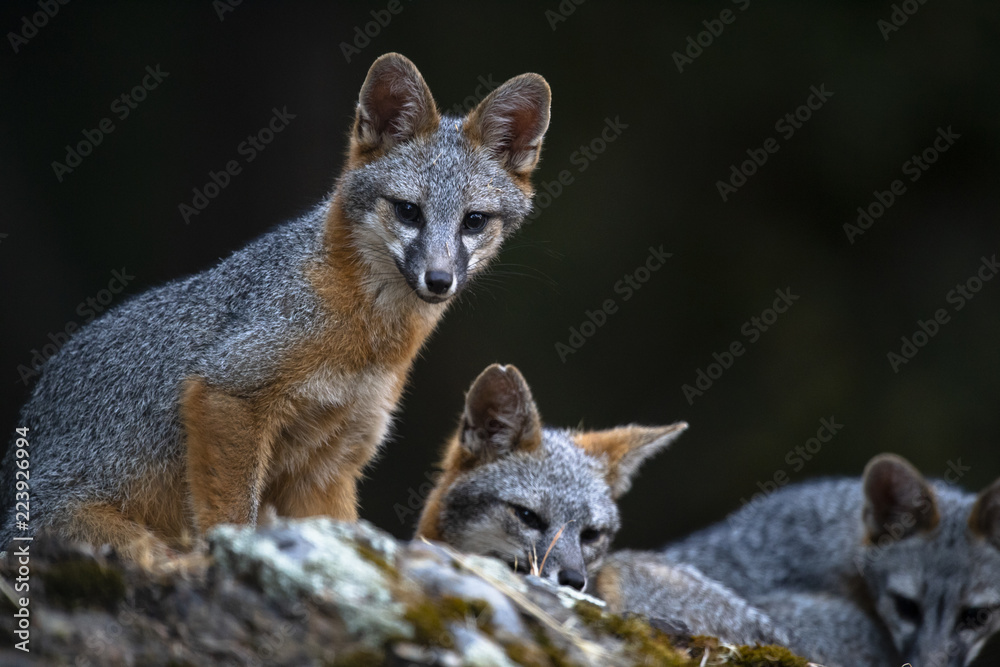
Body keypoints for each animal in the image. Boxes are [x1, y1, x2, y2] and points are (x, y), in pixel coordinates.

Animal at [0, 53, 552, 567]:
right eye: (408, 212)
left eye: (473, 221)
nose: (438, 280)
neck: (370, 342)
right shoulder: (228, 390)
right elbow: (231, 514)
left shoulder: (330, 464)